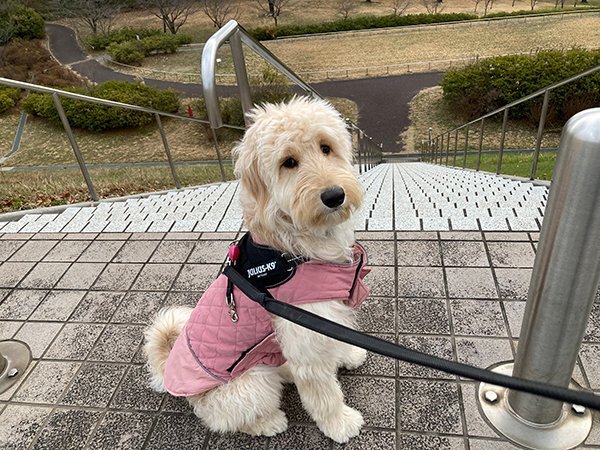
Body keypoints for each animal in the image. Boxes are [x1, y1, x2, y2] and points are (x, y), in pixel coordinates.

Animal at [145, 96, 370, 442]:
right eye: (288, 162)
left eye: (326, 147)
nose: (334, 195)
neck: (294, 247)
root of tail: (170, 373)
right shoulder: (305, 334)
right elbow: (323, 393)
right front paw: (340, 423)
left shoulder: (324, 320)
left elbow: (336, 338)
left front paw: (348, 354)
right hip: (250, 384)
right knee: (233, 418)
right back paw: (268, 422)